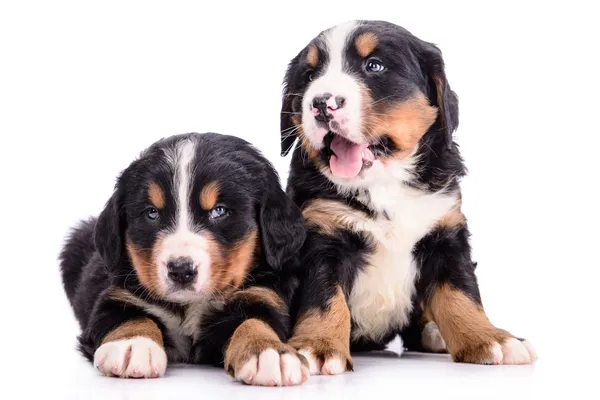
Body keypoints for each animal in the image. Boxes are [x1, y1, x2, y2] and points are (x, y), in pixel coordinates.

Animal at [59, 133, 310, 386]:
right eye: (151, 213)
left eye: (220, 211)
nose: (180, 270)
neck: (189, 305)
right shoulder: (118, 296)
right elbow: (129, 317)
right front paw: (133, 344)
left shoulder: (263, 295)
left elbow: (255, 321)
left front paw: (268, 352)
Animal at [278, 19, 536, 376]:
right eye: (310, 75)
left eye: (374, 66)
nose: (321, 103)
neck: (383, 182)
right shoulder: (321, 235)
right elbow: (325, 298)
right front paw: (318, 346)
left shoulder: (446, 234)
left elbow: (461, 293)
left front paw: (490, 338)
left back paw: (435, 332)